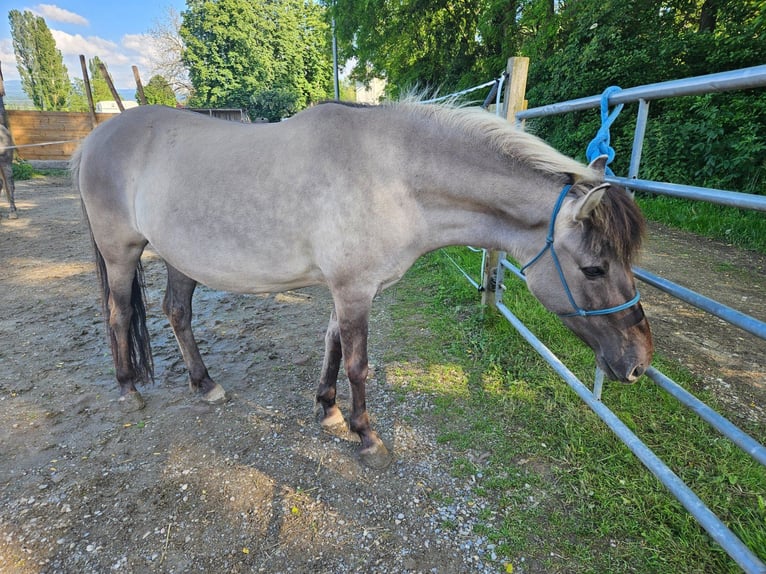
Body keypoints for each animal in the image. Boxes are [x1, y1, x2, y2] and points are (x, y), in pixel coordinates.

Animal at [70, 102, 656, 468]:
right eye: (594, 269)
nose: (639, 363)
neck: (393, 177)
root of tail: (95, 140)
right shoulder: (354, 289)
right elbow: (358, 363)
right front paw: (367, 436)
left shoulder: (346, 289)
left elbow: (331, 344)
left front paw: (328, 410)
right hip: (121, 253)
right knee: (119, 315)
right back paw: (127, 390)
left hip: (181, 258)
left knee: (177, 312)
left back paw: (204, 383)